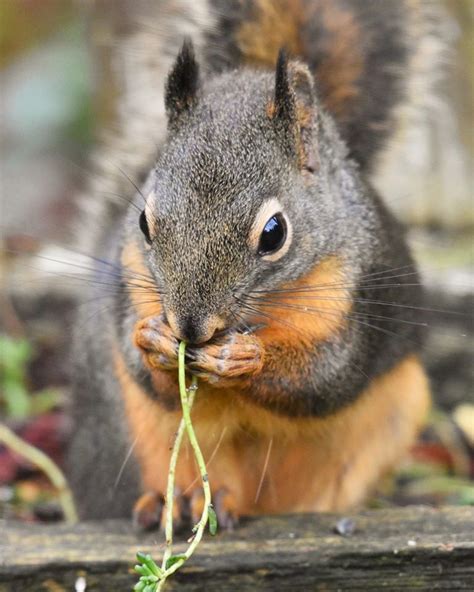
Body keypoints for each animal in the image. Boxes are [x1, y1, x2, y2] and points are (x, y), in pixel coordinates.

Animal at [66, 0, 444, 528]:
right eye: (142, 220)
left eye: (274, 233)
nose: (189, 327)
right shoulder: (131, 278)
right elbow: (143, 367)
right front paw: (154, 340)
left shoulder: (359, 290)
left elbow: (328, 376)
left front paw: (244, 357)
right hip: (119, 429)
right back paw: (172, 502)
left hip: (394, 413)